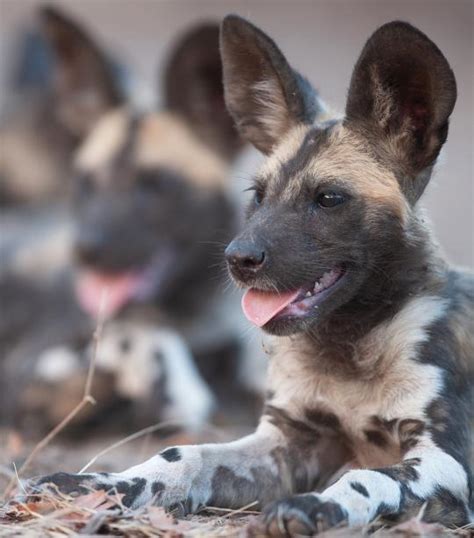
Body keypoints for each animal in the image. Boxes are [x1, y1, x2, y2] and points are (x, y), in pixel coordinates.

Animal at [1, 7, 264, 436]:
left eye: (156, 185)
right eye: (85, 182)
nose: (86, 250)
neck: (193, 312)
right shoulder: (20, 374)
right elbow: (140, 328)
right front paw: (173, 387)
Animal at [24, 16, 472, 532]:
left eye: (329, 199)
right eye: (258, 195)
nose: (237, 259)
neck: (348, 352)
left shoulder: (449, 465)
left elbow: (368, 477)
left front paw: (317, 506)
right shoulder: (287, 442)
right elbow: (184, 454)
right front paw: (103, 485)